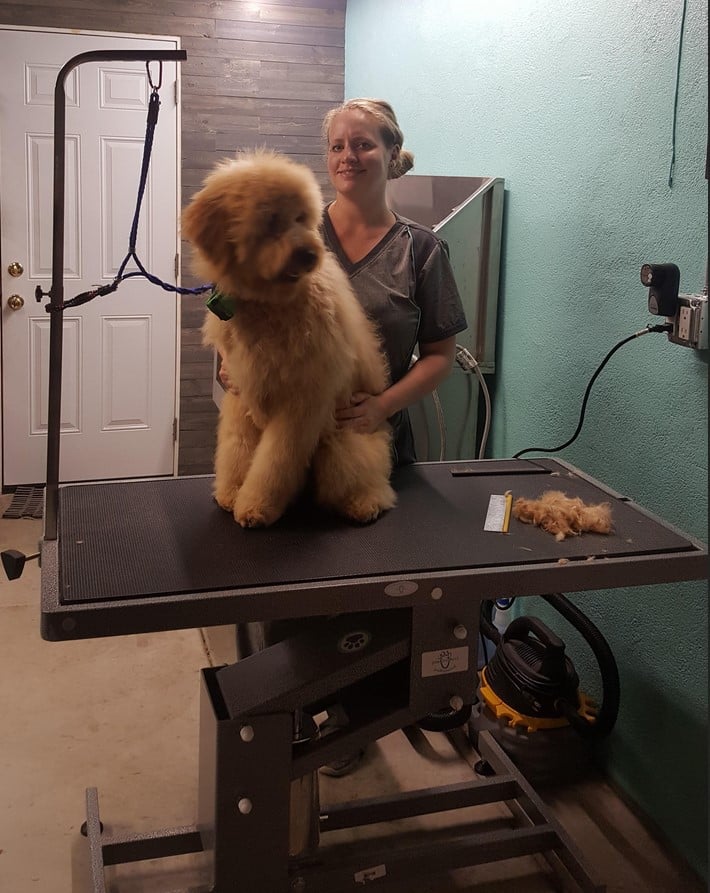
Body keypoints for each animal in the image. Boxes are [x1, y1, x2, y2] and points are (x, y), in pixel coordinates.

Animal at [181, 152, 398, 528]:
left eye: (302, 218)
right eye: (271, 221)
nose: (310, 254)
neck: (268, 304)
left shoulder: (301, 402)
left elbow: (275, 460)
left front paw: (256, 505)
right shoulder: (241, 391)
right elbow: (237, 448)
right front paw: (232, 491)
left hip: (343, 442)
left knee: (367, 480)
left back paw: (364, 502)